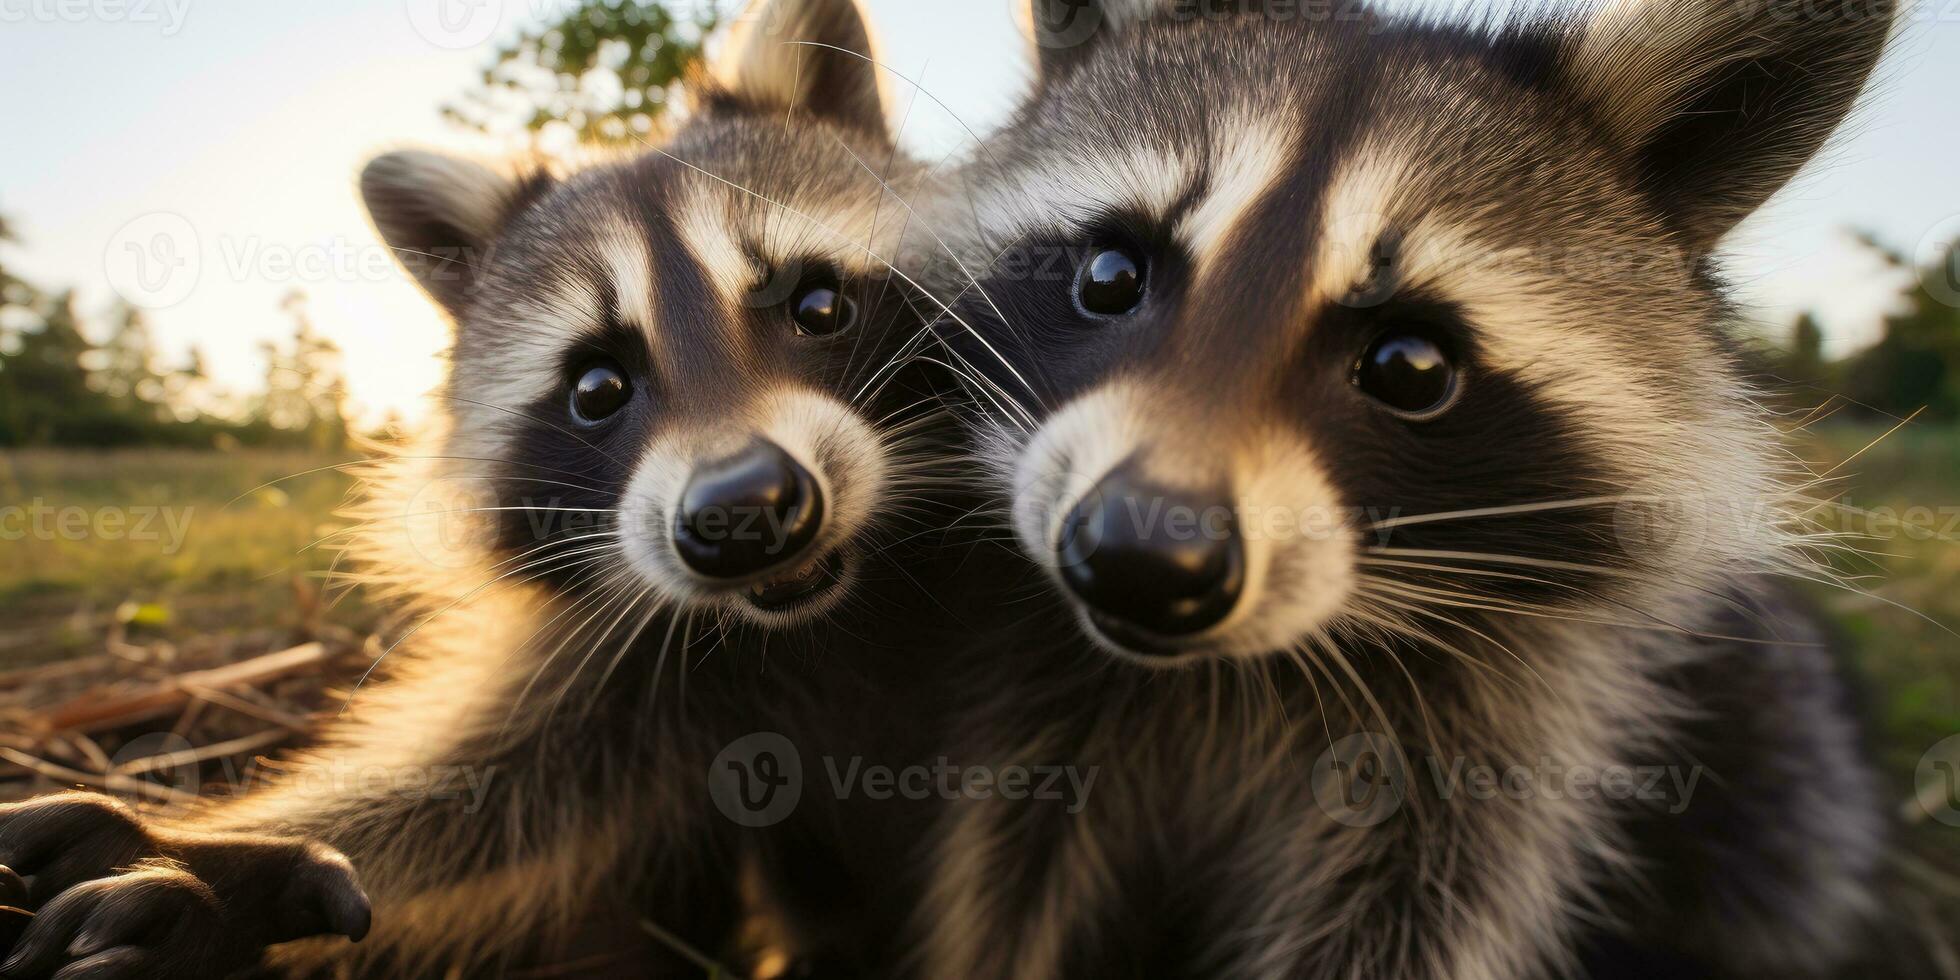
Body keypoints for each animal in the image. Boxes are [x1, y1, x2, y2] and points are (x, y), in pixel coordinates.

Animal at [0, 3, 956, 976]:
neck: (822, 616)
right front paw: (238, 860)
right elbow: (482, 797)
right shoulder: (622, 663)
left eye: (819, 306)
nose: (742, 511)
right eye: (596, 388)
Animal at [913, 1, 1897, 980]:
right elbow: (1011, 880)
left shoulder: (1496, 759)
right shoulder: (1041, 705)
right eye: (1109, 277)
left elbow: (1413, 920)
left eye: (1410, 367)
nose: (1141, 557)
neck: (1231, 675)